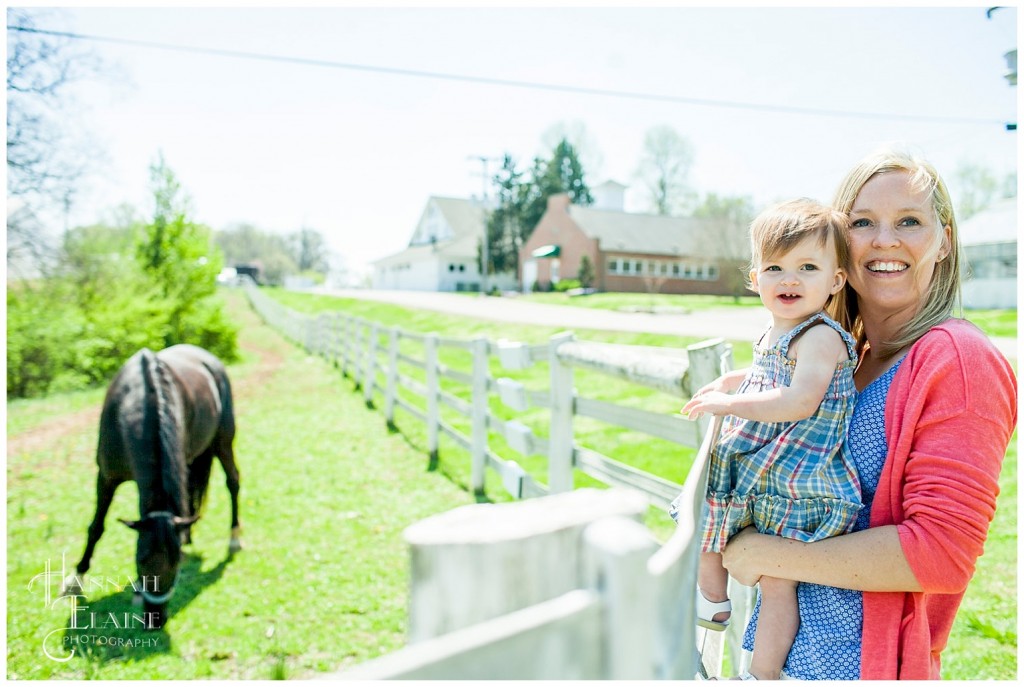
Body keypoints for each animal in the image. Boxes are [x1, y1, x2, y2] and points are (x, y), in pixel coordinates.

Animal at [63, 344, 241, 630]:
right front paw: (75, 580)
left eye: (176, 563)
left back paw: (234, 538)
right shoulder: (106, 477)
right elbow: (96, 527)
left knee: (233, 482)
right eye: (141, 560)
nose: (155, 619)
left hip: (223, 441)